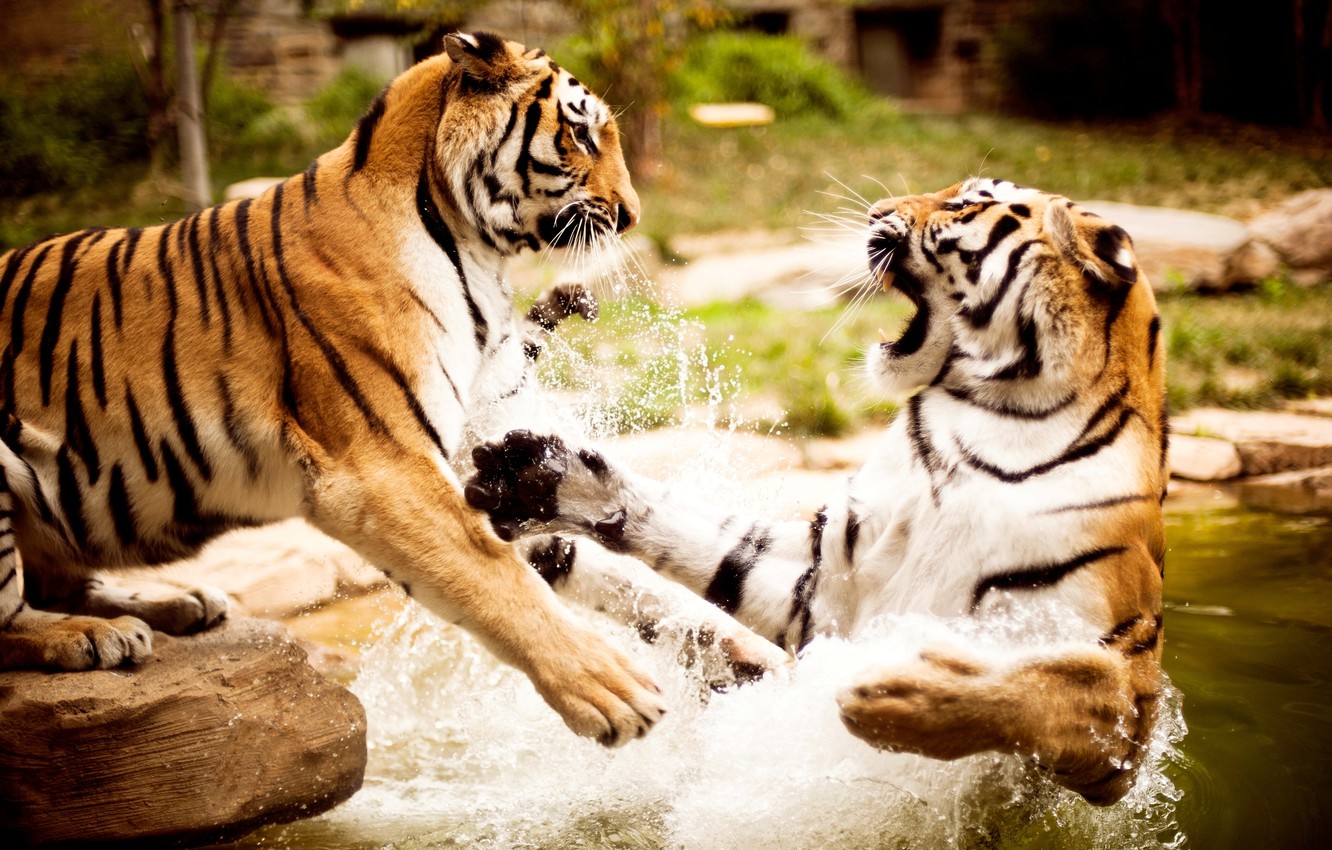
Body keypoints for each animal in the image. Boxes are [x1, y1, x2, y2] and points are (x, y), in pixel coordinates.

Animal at [0, 32, 667, 747]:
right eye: (581, 133)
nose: (632, 216)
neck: (474, 249)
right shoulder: (381, 466)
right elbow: (494, 573)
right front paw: (614, 691)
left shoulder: (476, 454)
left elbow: (573, 558)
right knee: (12, 616)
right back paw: (94, 636)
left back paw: (178, 604)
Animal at [462, 177, 1169, 804]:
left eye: (966, 202)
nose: (876, 211)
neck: (988, 423)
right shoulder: (827, 580)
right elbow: (704, 537)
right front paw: (542, 478)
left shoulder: (1126, 707)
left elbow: (1047, 686)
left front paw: (893, 694)